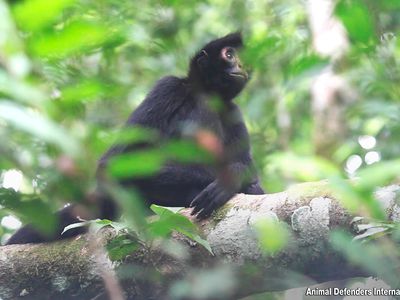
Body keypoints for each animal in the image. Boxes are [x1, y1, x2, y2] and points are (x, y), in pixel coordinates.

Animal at [7, 32, 262, 245]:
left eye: (239, 57)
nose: (242, 65)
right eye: (229, 54)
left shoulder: (232, 110)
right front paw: (232, 179)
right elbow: (110, 166)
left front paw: (237, 177)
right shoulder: (167, 87)